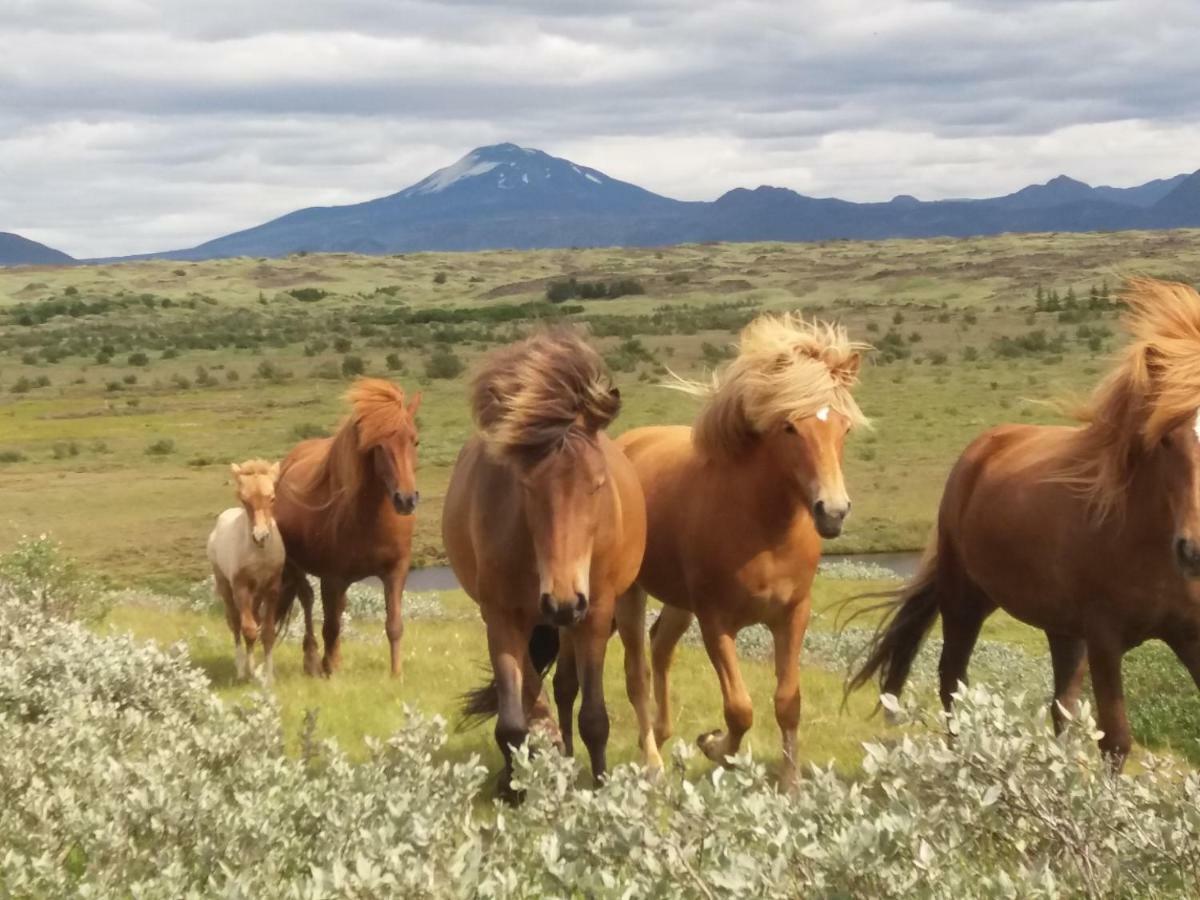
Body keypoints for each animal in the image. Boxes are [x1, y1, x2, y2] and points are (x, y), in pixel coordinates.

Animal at [208, 460, 285, 686]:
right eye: (244, 499)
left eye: (272, 497)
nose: (261, 536)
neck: (259, 554)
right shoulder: (241, 587)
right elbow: (248, 630)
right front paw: (250, 673)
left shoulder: (272, 588)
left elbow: (267, 632)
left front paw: (268, 677)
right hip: (225, 585)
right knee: (235, 623)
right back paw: (241, 668)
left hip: (257, 594)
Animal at [272, 376, 422, 681]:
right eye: (377, 445)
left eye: (414, 440)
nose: (406, 499)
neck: (369, 519)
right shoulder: (333, 578)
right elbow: (330, 626)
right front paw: (330, 672)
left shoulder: (396, 571)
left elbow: (394, 625)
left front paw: (396, 675)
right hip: (296, 565)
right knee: (308, 602)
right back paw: (313, 660)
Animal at [444, 328, 648, 796]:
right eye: (525, 485)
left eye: (597, 484)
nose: (563, 600)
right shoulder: (501, 616)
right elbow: (511, 722)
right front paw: (513, 786)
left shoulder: (595, 616)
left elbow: (594, 717)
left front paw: (601, 785)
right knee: (539, 691)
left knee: (565, 688)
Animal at [559, 314, 864, 787]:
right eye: (789, 427)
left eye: (844, 427)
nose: (832, 511)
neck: (763, 529)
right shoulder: (716, 622)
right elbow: (739, 709)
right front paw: (715, 747)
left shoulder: (793, 615)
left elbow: (787, 702)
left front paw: (791, 783)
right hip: (630, 597)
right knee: (637, 672)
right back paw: (653, 761)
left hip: (679, 603)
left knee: (660, 647)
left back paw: (662, 734)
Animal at [849, 278, 1200, 772]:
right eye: (1166, 437)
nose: (1194, 550)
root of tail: (982, 446)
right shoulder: (1105, 638)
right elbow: (1115, 740)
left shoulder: (1190, 634)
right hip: (966, 601)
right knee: (952, 681)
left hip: (1063, 630)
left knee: (1061, 707)